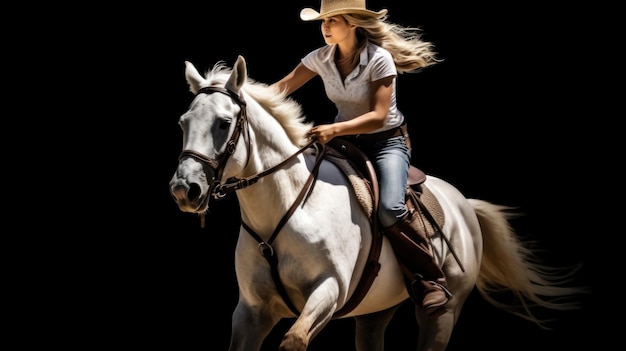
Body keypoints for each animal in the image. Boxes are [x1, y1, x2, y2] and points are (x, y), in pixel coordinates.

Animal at [168, 56, 584, 350]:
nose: (185, 189)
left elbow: (295, 339)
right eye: (183, 122)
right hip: (375, 314)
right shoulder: (252, 312)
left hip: (444, 312)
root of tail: (463, 204)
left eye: (223, 123)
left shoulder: (328, 292)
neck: (287, 209)